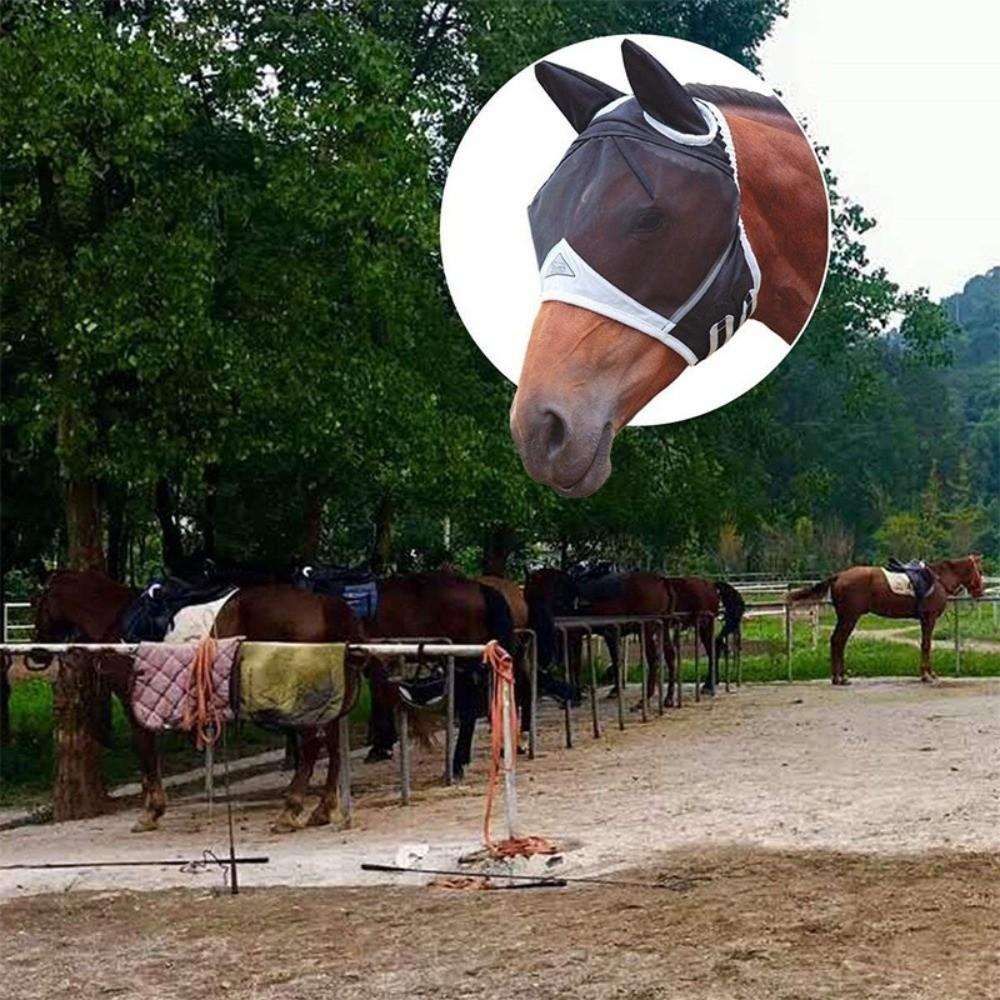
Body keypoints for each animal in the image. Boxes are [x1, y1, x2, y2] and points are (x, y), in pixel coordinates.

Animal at [32, 569, 364, 833]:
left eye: (37, 601)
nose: (37, 654)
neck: (117, 623)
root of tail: (325, 606)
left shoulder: (132, 702)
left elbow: (145, 750)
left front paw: (151, 811)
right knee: (331, 743)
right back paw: (322, 809)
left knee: (311, 744)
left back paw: (290, 811)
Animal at [786, 555, 984, 684]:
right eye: (980, 570)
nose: (980, 592)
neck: (938, 580)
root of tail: (839, 576)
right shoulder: (929, 619)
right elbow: (927, 645)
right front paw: (928, 675)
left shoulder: (924, 620)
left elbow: (924, 644)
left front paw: (925, 674)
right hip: (849, 617)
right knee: (838, 641)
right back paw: (840, 677)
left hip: (845, 617)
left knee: (837, 641)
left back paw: (839, 677)